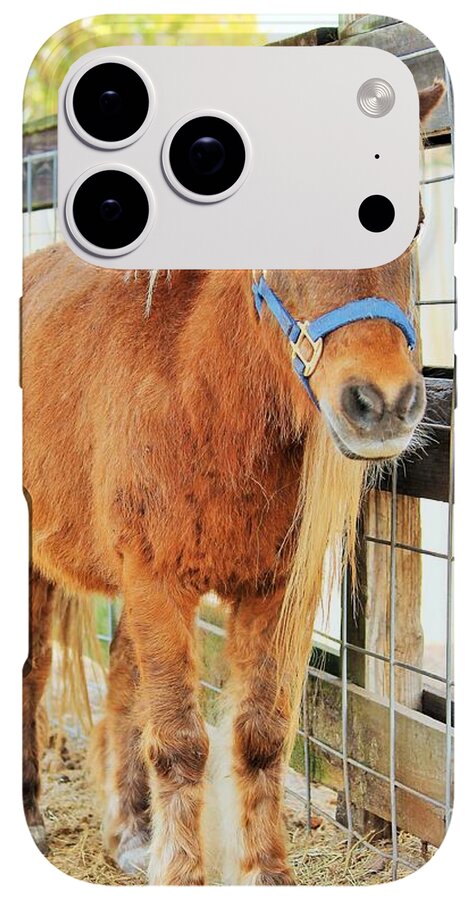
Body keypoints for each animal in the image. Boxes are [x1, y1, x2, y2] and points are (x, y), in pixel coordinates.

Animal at [22, 80, 445, 885]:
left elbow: (258, 736)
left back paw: (129, 830)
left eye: (410, 217)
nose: (383, 403)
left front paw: (265, 873)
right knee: (33, 671)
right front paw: (185, 874)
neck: (202, 397)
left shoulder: (271, 591)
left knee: (122, 682)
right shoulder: (157, 580)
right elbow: (182, 741)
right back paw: (31, 812)